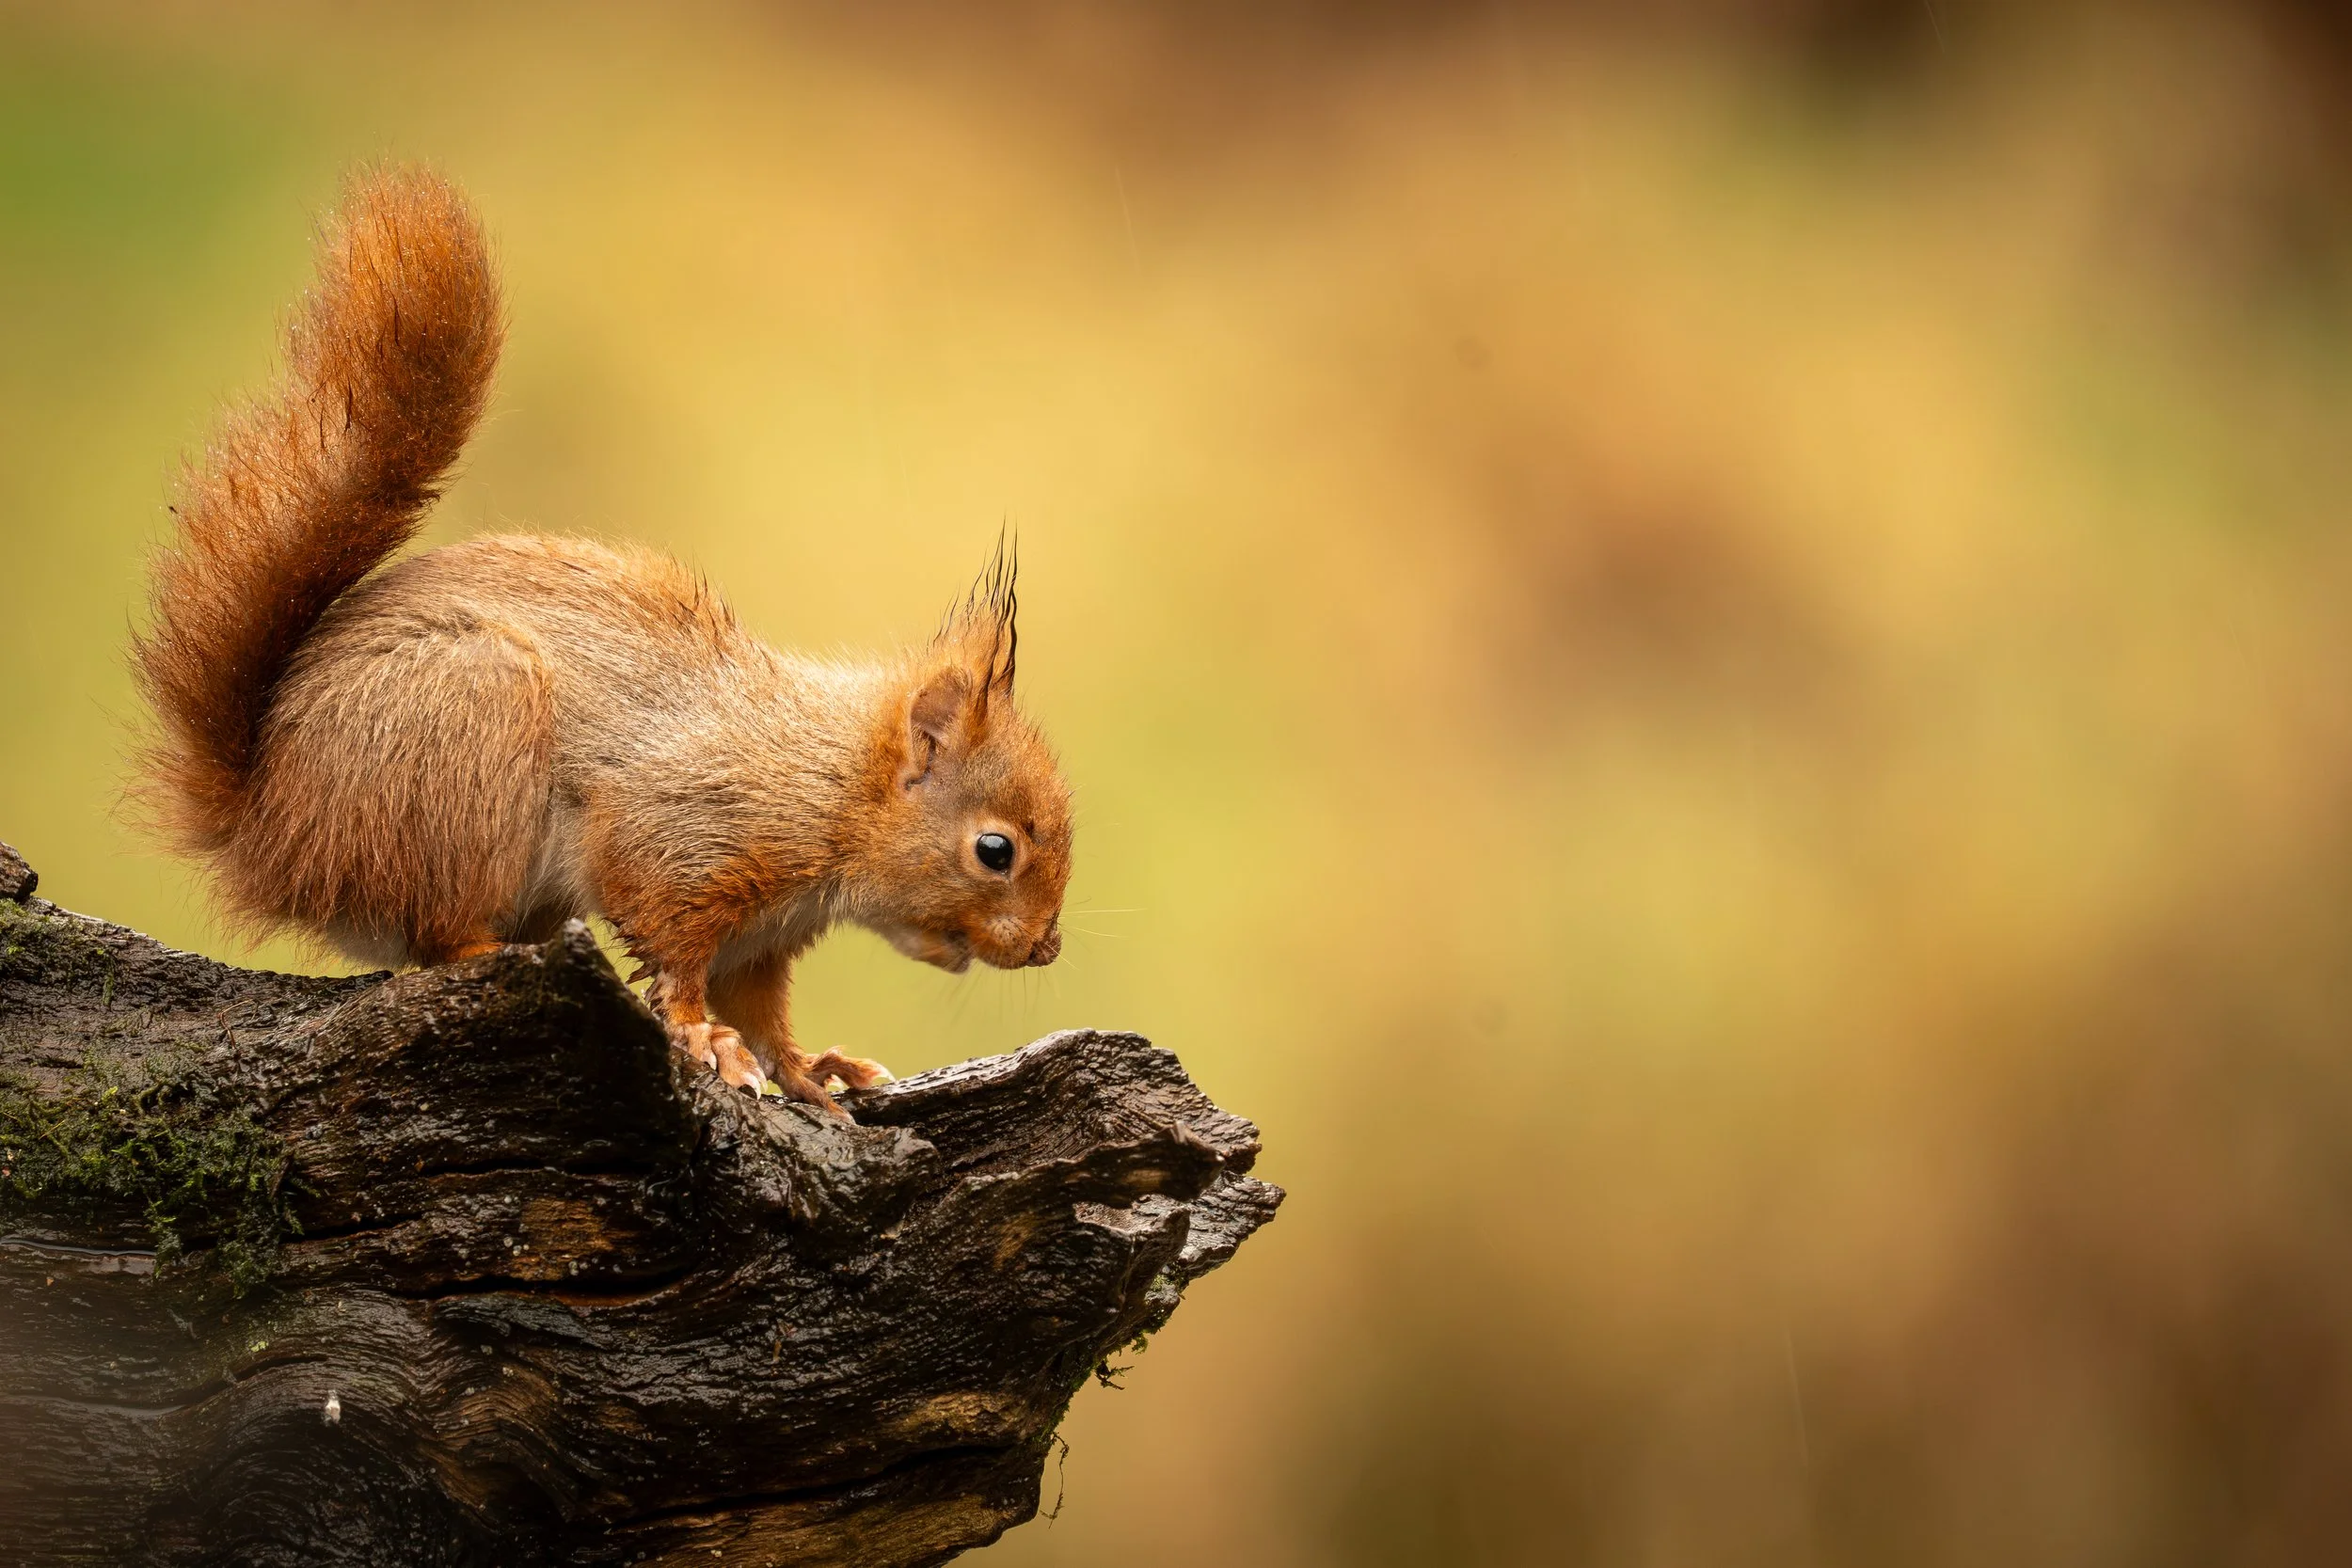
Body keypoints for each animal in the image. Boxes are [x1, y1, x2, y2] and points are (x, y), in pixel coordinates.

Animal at [131, 166, 1073, 1116]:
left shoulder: (764, 936)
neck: (830, 785)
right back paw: (491, 953)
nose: (1045, 949)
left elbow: (762, 1008)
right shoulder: (685, 831)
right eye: (996, 850)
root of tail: (267, 833)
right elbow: (672, 944)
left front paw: (810, 1069)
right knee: (436, 939)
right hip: (466, 736)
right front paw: (701, 1037)